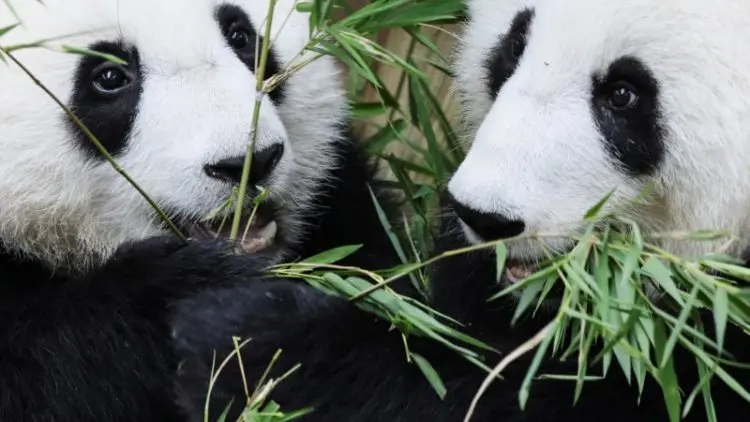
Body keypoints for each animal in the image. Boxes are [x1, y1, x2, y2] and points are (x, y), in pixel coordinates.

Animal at [0, 0, 401, 420]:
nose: (250, 162)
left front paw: (257, 336)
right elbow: (47, 371)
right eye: (108, 76)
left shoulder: (346, 207)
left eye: (240, 36)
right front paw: (185, 286)